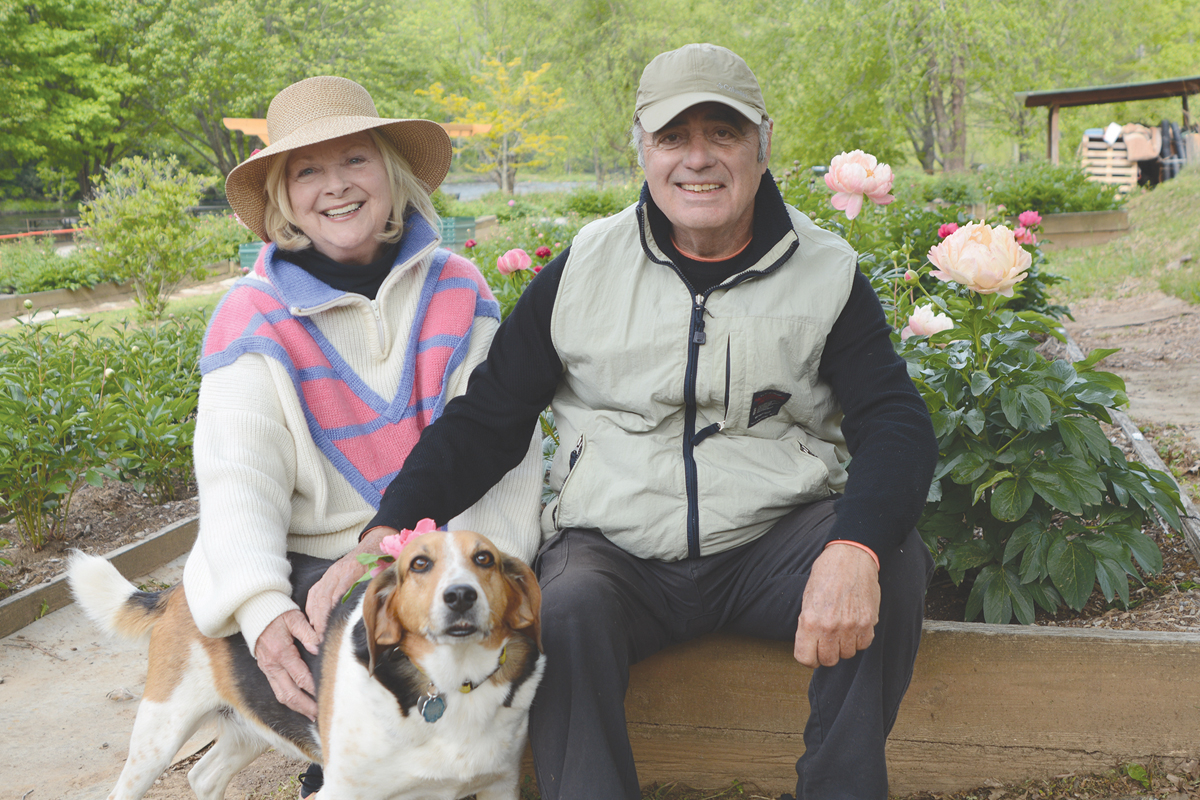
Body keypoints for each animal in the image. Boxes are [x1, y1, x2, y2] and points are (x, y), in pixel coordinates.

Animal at [68, 532, 547, 800]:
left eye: (484, 559)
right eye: (419, 564)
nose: (461, 596)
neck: (451, 683)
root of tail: (181, 586)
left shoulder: (500, 786)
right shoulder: (343, 792)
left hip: (253, 723)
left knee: (204, 777)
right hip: (159, 733)